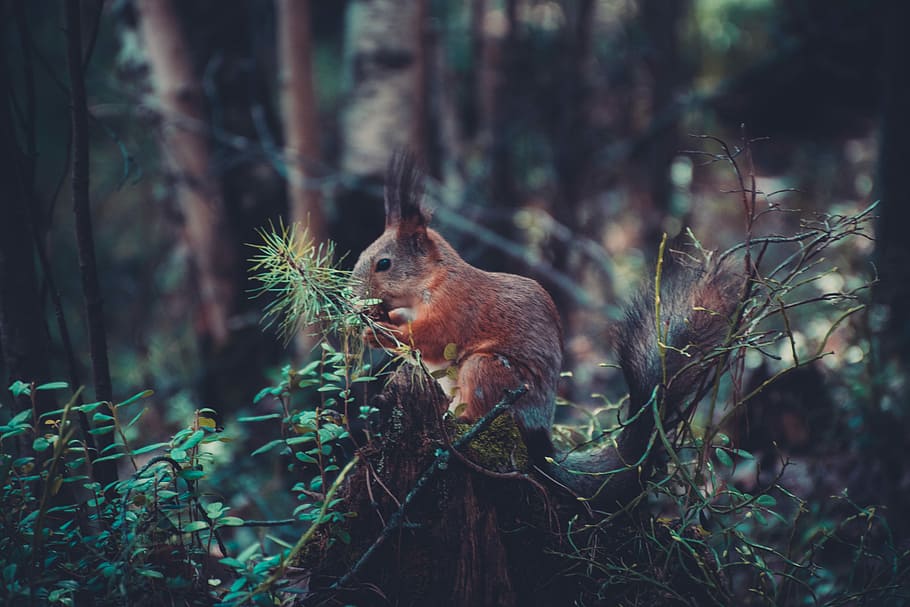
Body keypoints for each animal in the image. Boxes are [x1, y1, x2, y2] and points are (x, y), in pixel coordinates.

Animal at [352, 152, 741, 506]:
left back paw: (460, 423)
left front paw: (375, 330)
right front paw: (370, 320)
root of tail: (540, 439)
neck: (432, 280)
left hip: (489, 372)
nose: (353, 294)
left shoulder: (456, 309)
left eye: (384, 264)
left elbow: (429, 338)